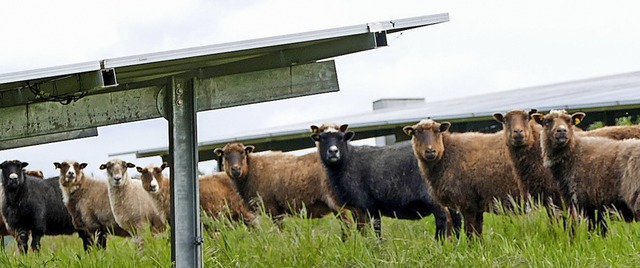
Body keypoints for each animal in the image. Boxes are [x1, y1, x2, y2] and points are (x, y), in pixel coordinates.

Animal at [312, 123, 458, 239]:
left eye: (342, 138)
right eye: (321, 138)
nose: (333, 151)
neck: (347, 161)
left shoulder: (362, 206)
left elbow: (365, 231)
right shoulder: (371, 208)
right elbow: (376, 230)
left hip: (432, 196)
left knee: (444, 217)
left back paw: (440, 243)